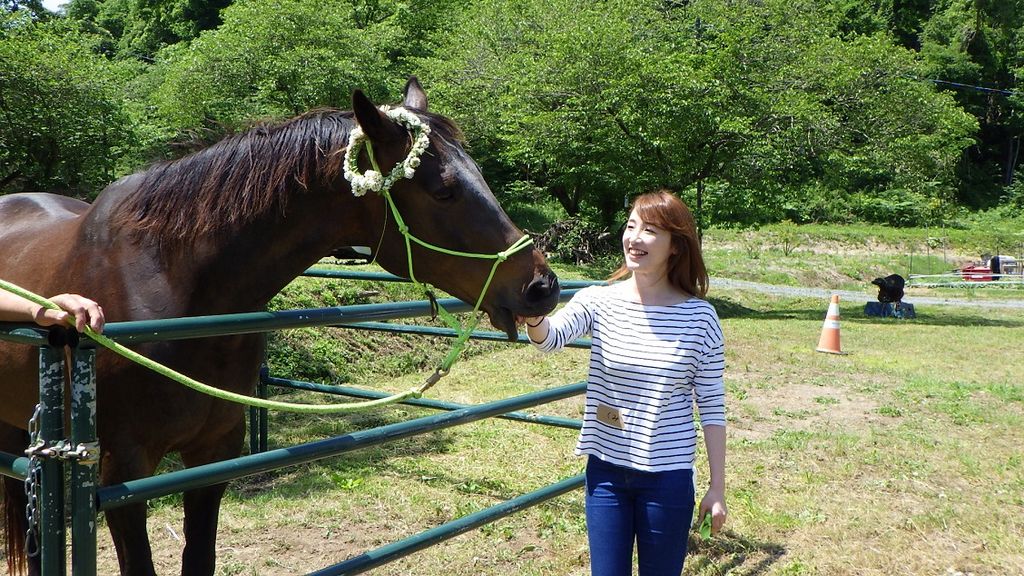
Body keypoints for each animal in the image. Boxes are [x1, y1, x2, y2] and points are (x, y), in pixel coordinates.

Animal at [0, 77, 561, 573]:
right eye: (444, 191)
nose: (542, 286)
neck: (173, 284)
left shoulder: (212, 459)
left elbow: (199, 558)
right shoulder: (123, 476)